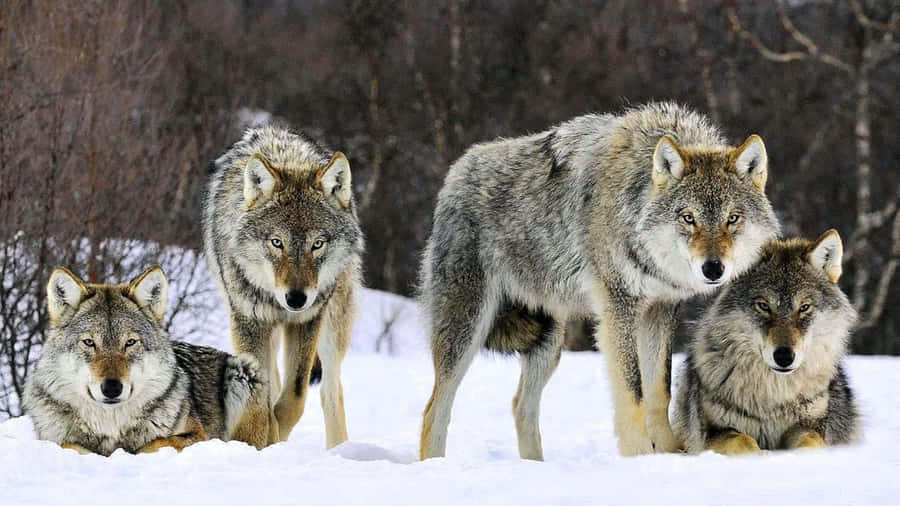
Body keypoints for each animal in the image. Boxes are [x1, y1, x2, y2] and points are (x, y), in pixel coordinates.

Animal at [23, 266, 261, 456]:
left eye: (130, 342)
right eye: (89, 342)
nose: (112, 388)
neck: (111, 426)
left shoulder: (197, 435)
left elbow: (155, 443)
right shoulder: (52, 439)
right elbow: (69, 445)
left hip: (243, 372)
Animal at [204, 126, 363, 448]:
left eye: (318, 244)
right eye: (277, 243)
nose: (296, 298)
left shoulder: (307, 320)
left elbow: (294, 398)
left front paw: (276, 434)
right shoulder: (248, 321)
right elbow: (262, 400)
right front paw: (262, 440)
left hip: (333, 326)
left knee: (330, 391)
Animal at [419, 102, 780, 459]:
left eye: (732, 218)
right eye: (688, 218)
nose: (713, 269)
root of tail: (456, 172)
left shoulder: (660, 310)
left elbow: (659, 391)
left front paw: (668, 453)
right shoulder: (618, 308)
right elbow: (633, 393)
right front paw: (639, 457)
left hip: (549, 341)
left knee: (521, 406)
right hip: (468, 328)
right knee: (434, 411)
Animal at [673, 231, 860, 454]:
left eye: (804, 307)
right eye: (763, 306)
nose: (784, 356)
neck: (774, 397)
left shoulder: (811, 425)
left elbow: (811, 442)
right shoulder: (713, 433)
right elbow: (743, 441)